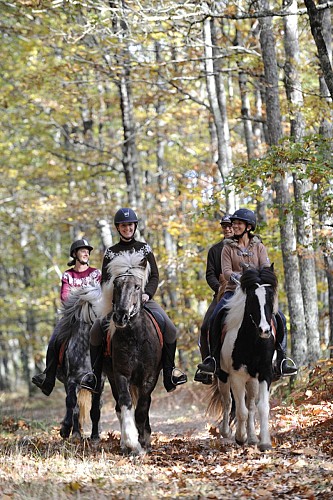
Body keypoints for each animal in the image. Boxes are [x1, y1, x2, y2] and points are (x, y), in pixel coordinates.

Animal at [55, 286, 101, 438]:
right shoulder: (72, 380)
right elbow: (72, 404)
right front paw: (71, 432)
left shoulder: (99, 382)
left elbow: (95, 408)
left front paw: (95, 436)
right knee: (71, 404)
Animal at [89, 252, 162, 456]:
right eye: (116, 285)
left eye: (137, 286)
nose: (120, 316)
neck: (134, 337)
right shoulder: (121, 374)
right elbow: (126, 403)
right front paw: (132, 443)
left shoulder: (149, 378)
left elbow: (142, 409)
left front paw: (143, 442)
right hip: (108, 377)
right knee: (117, 406)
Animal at [208, 268, 278, 452]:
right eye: (252, 298)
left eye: (271, 296)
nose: (265, 330)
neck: (253, 340)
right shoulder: (236, 376)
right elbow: (241, 410)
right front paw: (240, 437)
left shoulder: (265, 373)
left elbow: (261, 407)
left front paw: (264, 442)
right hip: (223, 376)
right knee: (227, 402)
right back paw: (226, 432)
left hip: (252, 379)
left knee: (251, 404)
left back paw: (252, 437)